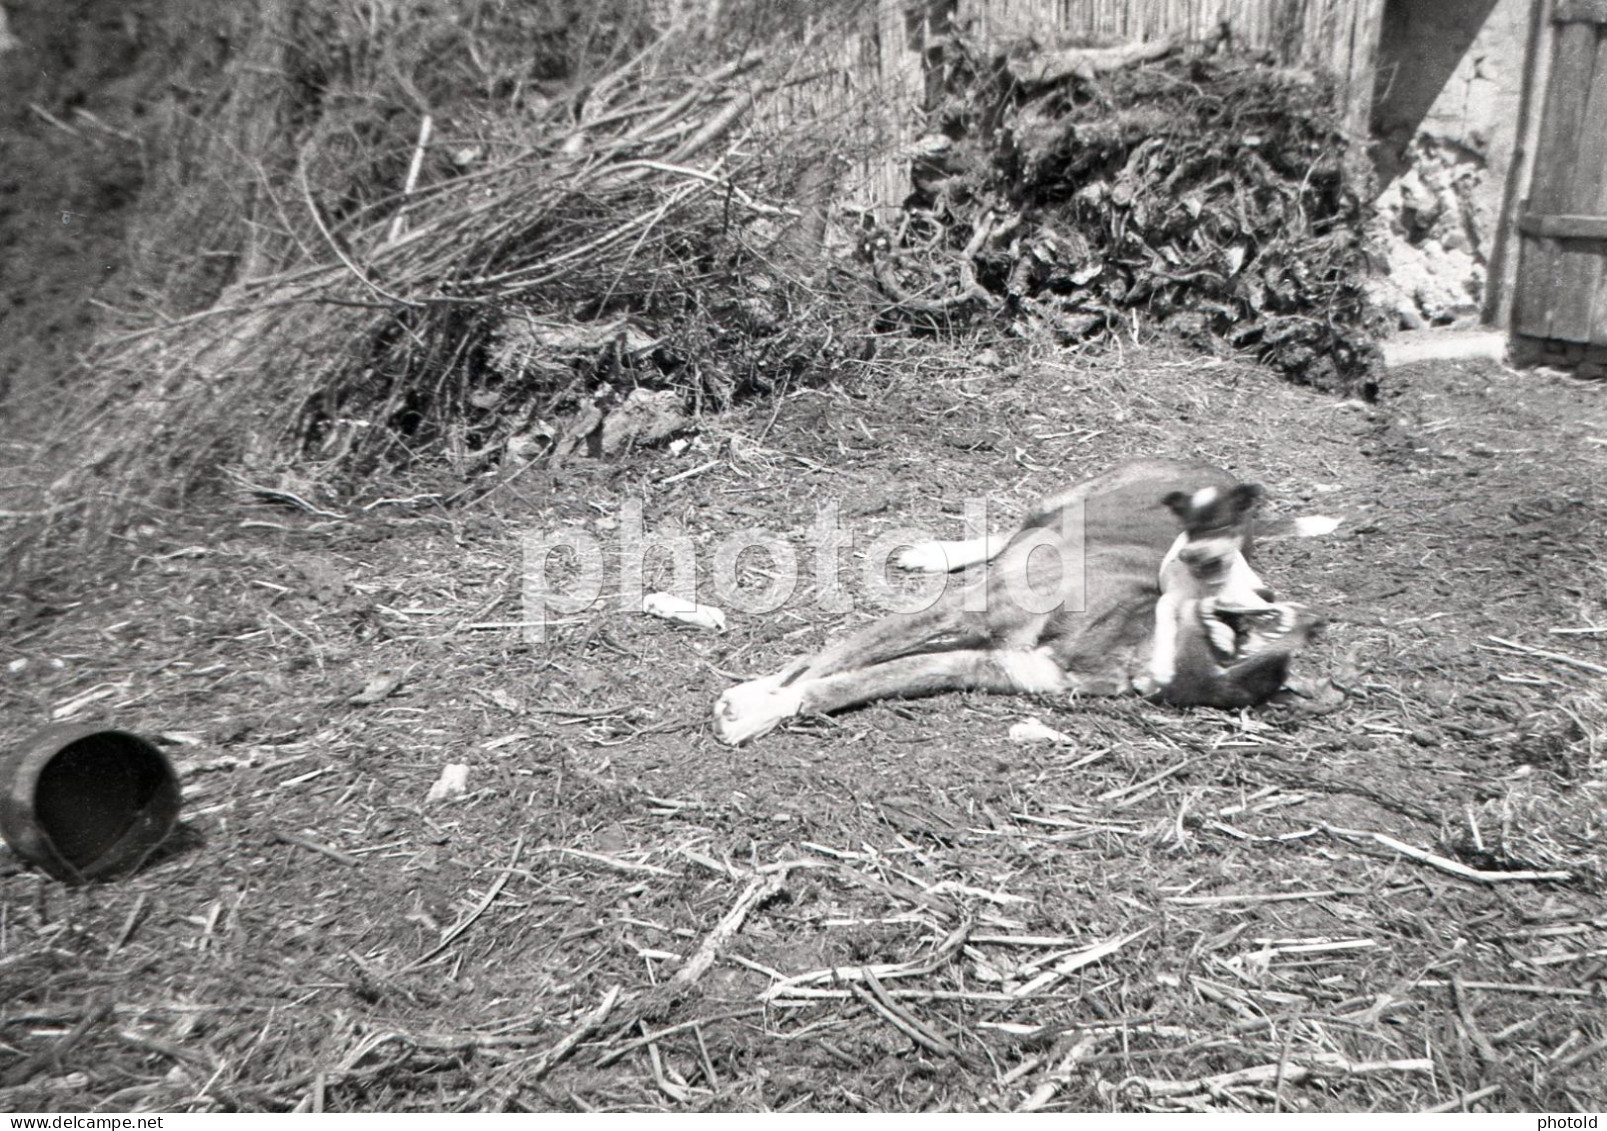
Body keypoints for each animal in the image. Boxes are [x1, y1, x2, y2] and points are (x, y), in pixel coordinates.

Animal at [716, 456, 1330, 745]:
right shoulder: (956, 611)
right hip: (1063, 498)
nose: (1312, 617)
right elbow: (826, 658)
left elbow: (838, 684)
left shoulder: (970, 662)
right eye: (1226, 565)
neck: (1129, 642)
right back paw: (938, 553)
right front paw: (760, 697)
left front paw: (767, 707)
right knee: (1011, 532)